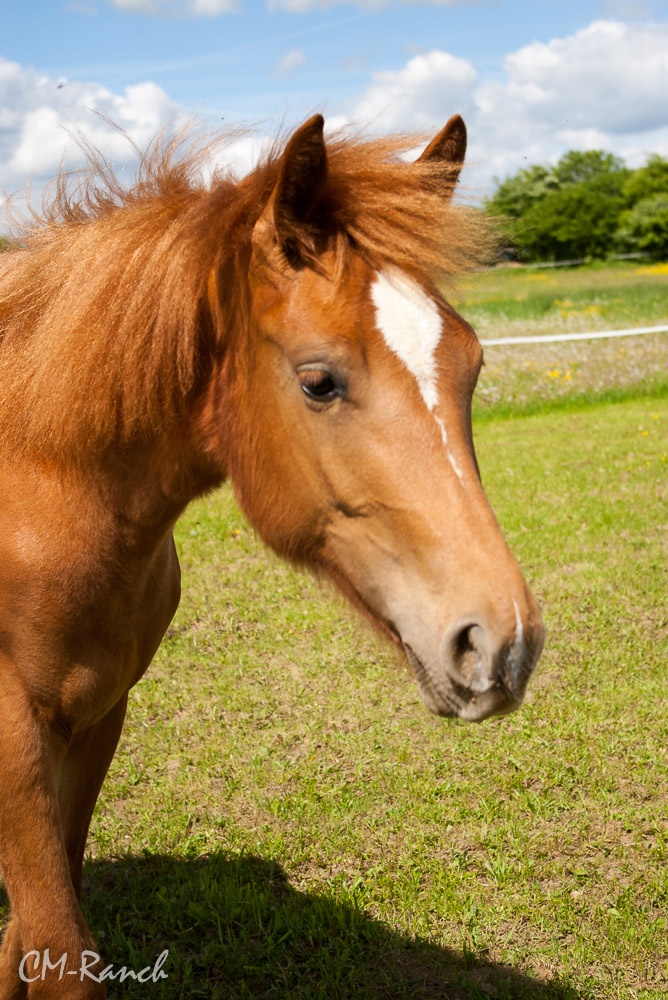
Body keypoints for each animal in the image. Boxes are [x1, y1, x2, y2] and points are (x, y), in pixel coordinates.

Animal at [0, 113, 544, 996]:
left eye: (473, 366)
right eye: (319, 380)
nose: (503, 643)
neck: (39, 495)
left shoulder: (97, 717)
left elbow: (30, 935)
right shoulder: (15, 736)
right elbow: (57, 950)